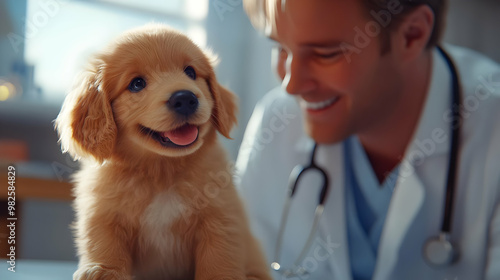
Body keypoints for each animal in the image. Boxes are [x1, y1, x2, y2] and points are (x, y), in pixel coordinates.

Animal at [55, 24, 270, 280]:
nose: (185, 98)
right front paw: (103, 270)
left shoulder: (221, 216)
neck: (162, 170)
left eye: (190, 72)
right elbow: (104, 243)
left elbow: (218, 256)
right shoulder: (102, 213)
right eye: (137, 83)